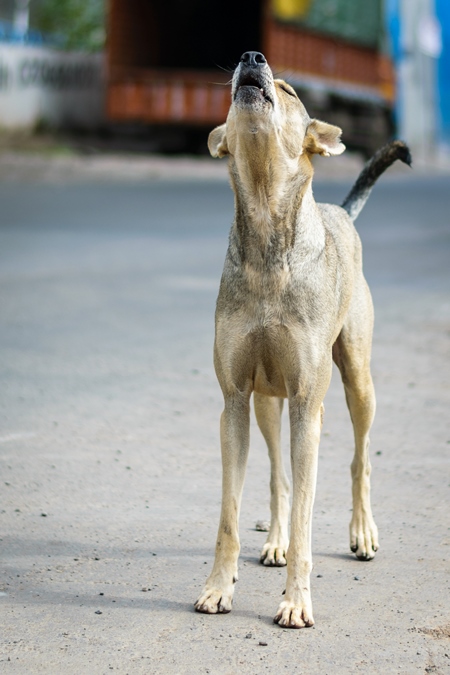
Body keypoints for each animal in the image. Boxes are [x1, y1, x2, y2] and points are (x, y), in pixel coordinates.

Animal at [193, 48, 412, 628]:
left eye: (291, 91)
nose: (251, 57)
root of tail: (341, 212)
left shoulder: (308, 404)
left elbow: (308, 518)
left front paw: (296, 601)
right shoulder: (235, 401)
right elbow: (231, 513)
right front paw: (218, 587)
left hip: (355, 379)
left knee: (359, 459)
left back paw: (362, 532)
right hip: (269, 401)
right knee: (278, 478)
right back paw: (274, 541)